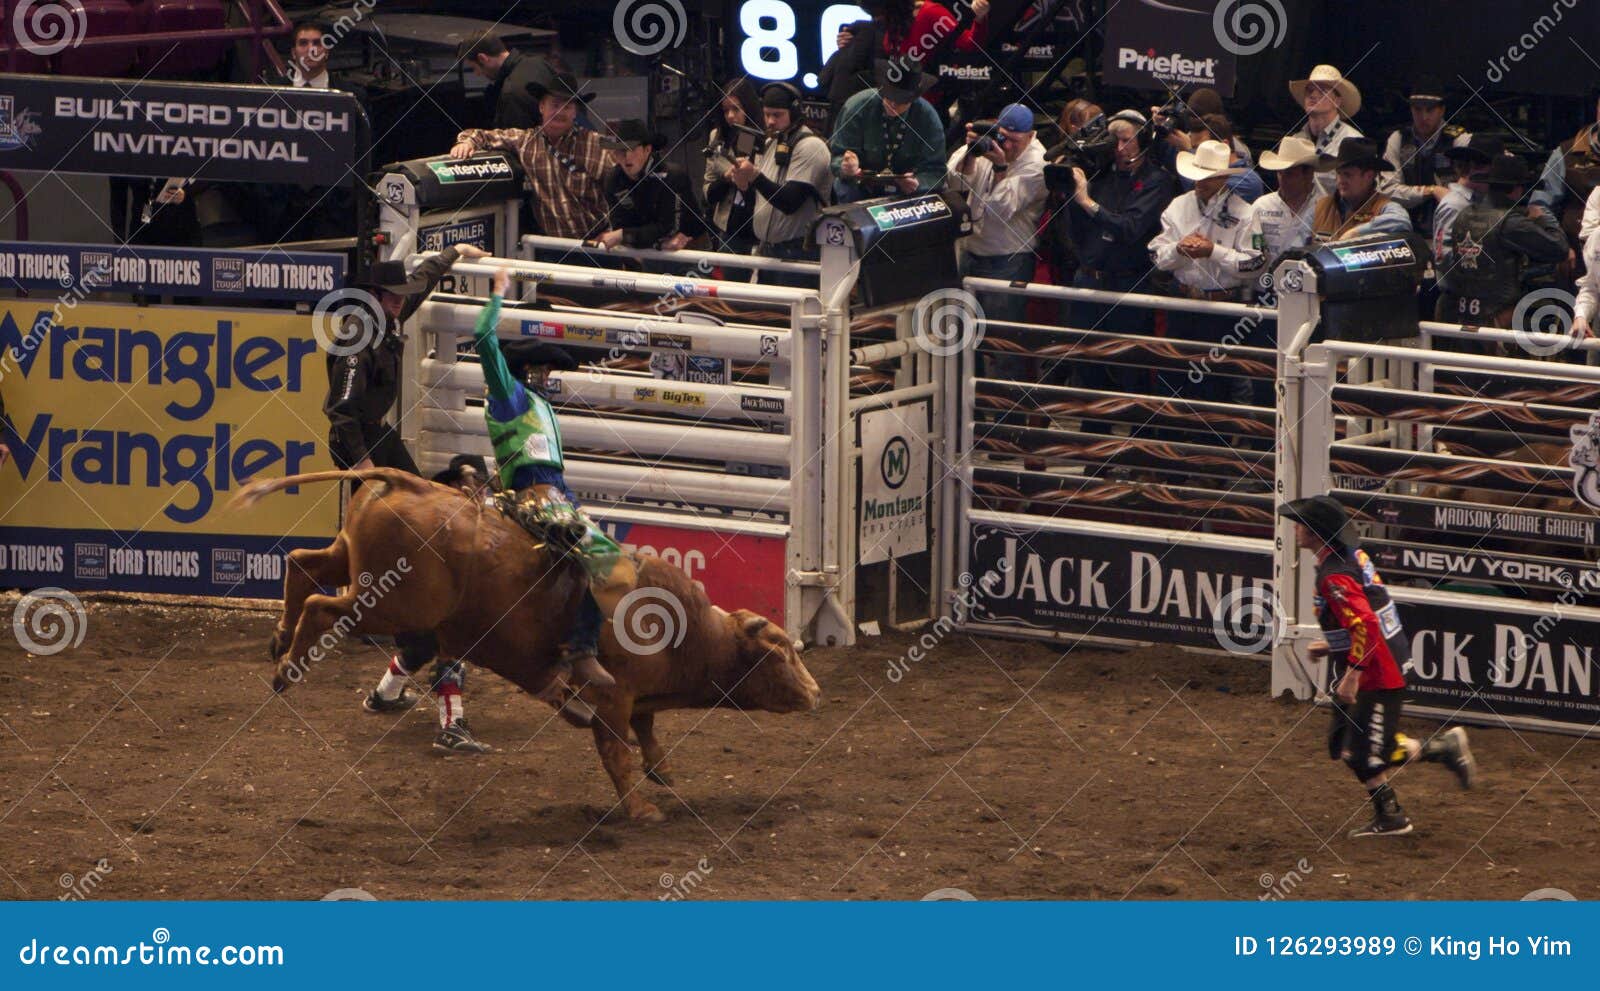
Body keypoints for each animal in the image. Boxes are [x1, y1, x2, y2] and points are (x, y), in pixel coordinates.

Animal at [232, 470, 825, 826]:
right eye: (781, 652)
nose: (816, 692)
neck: (686, 630)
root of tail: (408, 482)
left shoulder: (635, 699)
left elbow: (648, 732)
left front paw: (663, 772)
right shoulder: (613, 697)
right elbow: (617, 752)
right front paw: (641, 809)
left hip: (352, 561)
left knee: (303, 564)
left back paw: (280, 637)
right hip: (390, 606)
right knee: (321, 606)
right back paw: (288, 666)